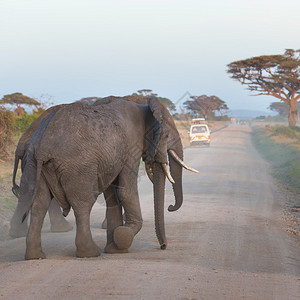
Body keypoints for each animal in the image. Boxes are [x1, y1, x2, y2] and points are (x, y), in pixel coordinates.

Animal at [18, 97, 197, 258]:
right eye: (166, 136)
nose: (163, 246)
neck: (145, 108)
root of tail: (43, 145)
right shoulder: (131, 147)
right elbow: (126, 191)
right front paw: (123, 236)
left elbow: (113, 197)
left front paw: (115, 249)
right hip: (77, 166)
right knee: (82, 204)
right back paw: (90, 253)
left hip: (32, 163)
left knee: (39, 204)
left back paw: (35, 256)